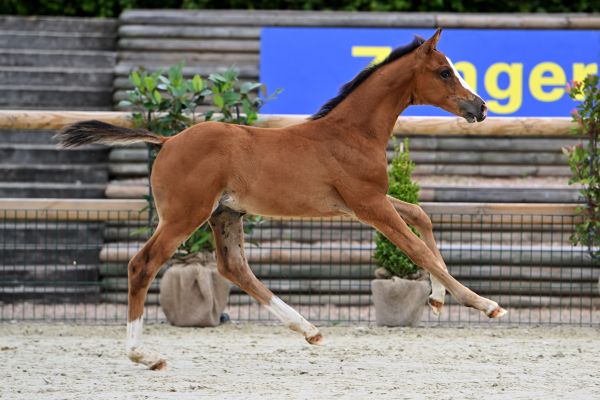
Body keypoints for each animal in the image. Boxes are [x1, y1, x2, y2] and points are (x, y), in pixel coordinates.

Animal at [57, 29, 506, 370]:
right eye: (444, 72)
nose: (480, 107)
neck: (351, 133)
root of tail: (167, 141)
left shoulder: (367, 201)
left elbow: (422, 216)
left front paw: (437, 298)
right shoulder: (368, 204)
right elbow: (417, 249)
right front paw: (485, 304)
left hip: (225, 213)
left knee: (234, 267)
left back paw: (309, 329)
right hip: (184, 215)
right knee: (143, 264)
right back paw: (144, 355)